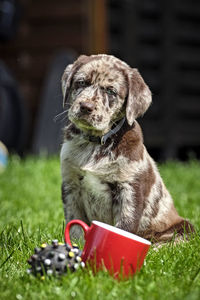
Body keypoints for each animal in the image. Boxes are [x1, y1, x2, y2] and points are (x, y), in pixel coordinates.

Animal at [60, 54, 194, 244]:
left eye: (110, 91)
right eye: (81, 83)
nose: (86, 107)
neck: (95, 143)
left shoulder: (129, 189)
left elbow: (124, 227)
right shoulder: (70, 186)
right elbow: (75, 227)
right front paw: (75, 247)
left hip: (184, 227)